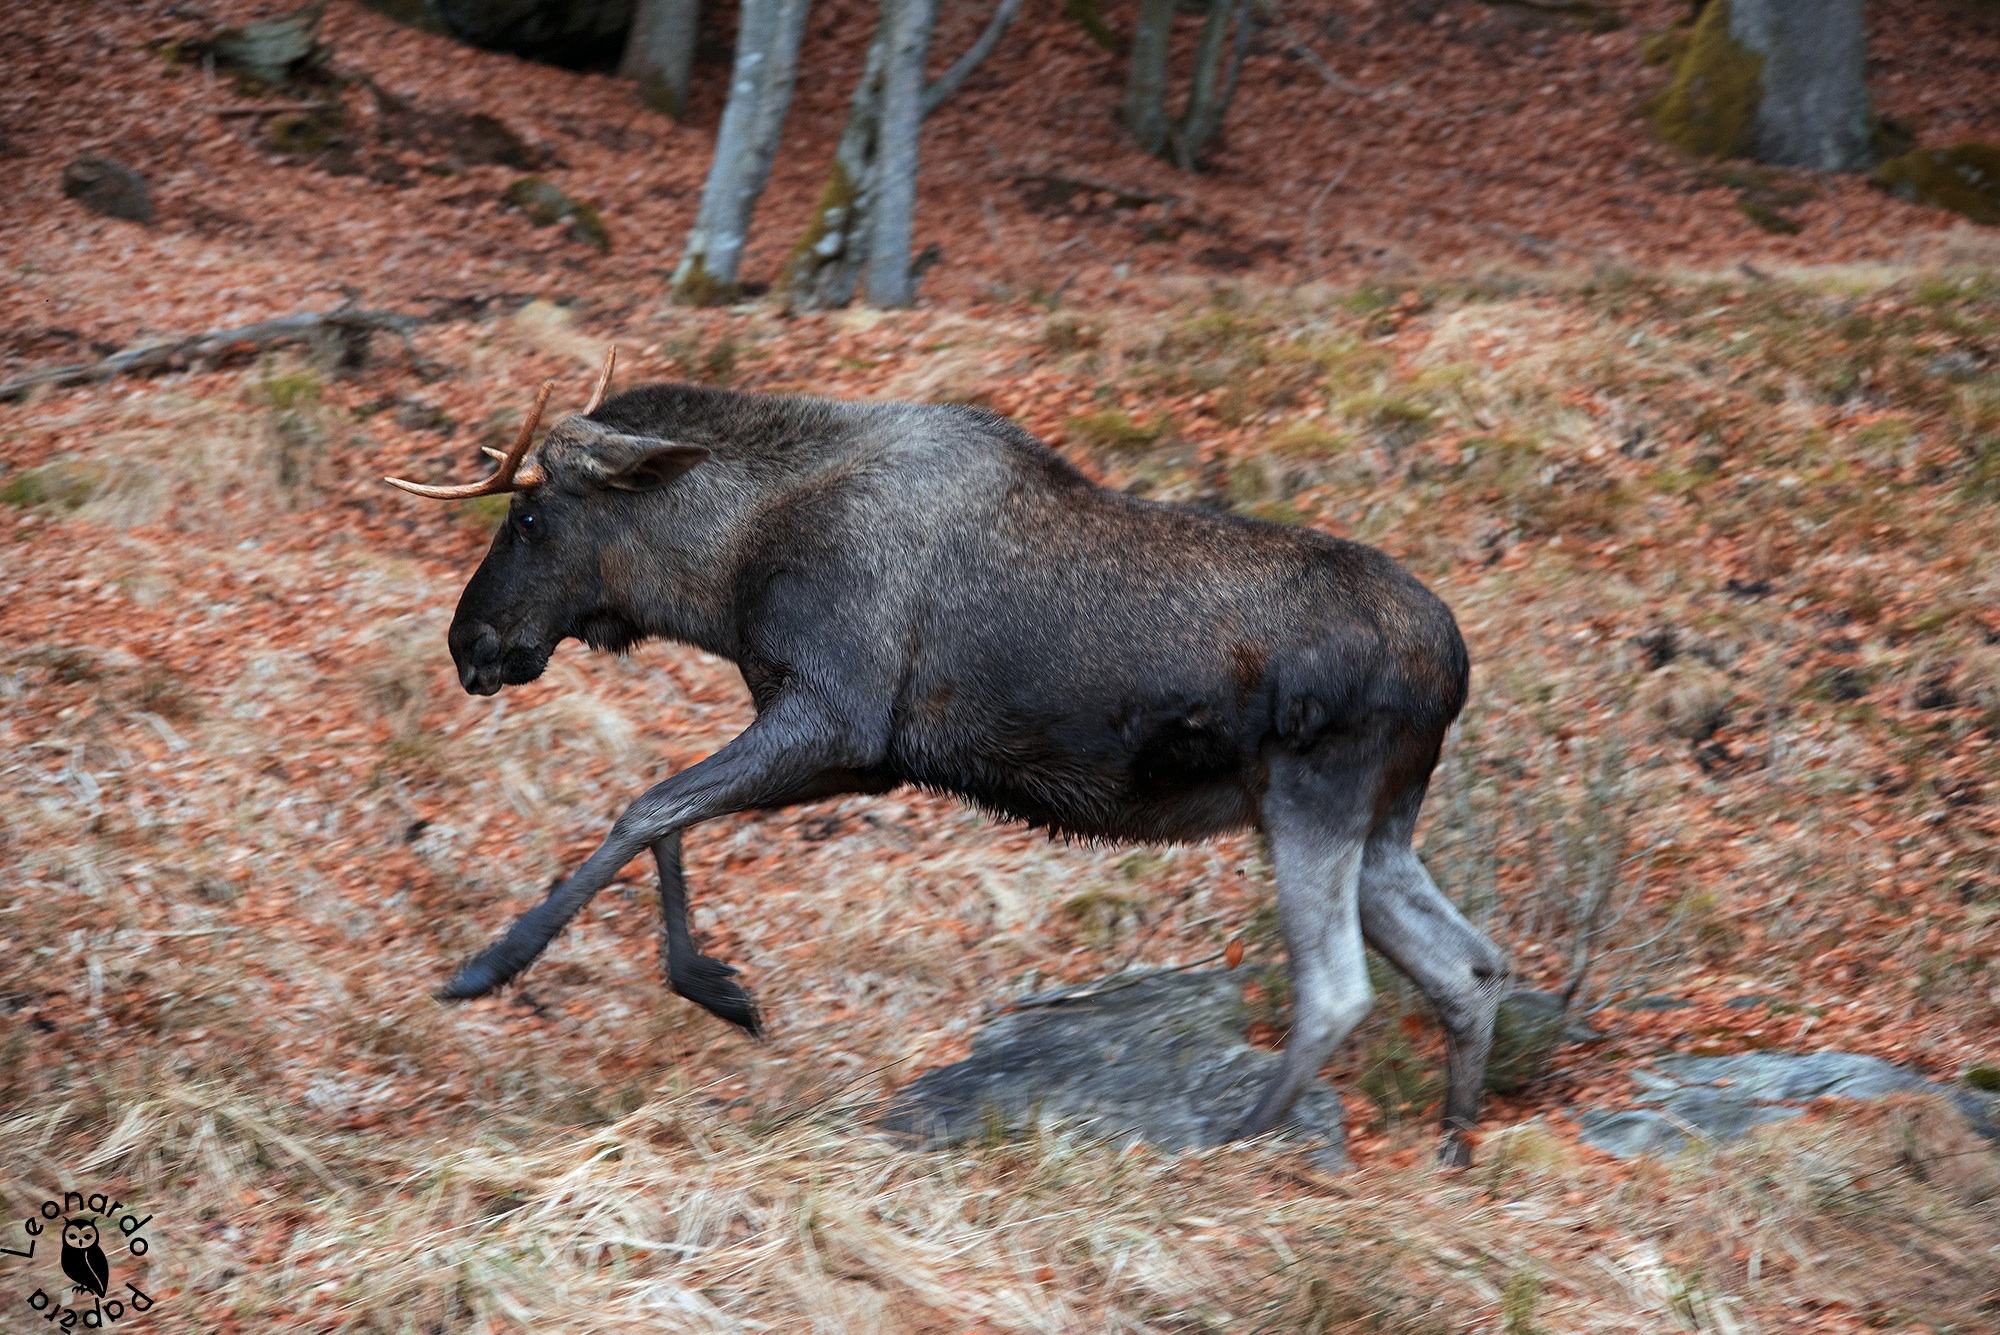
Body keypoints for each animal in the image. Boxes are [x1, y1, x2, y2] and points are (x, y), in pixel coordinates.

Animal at [385, 351, 1508, 1163]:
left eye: (529, 514)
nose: (468, 643)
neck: (722, 574)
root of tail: (1455, 660)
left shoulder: (833, 715)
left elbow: (646, 807)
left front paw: (491, 965)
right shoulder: (854, 752)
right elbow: (669, 815)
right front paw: (718, 984)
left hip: (1312, 799)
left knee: (1338, 992)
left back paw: (1232, 1145)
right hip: (1378, 821)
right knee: (1467, 965)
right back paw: (1452, 1144)